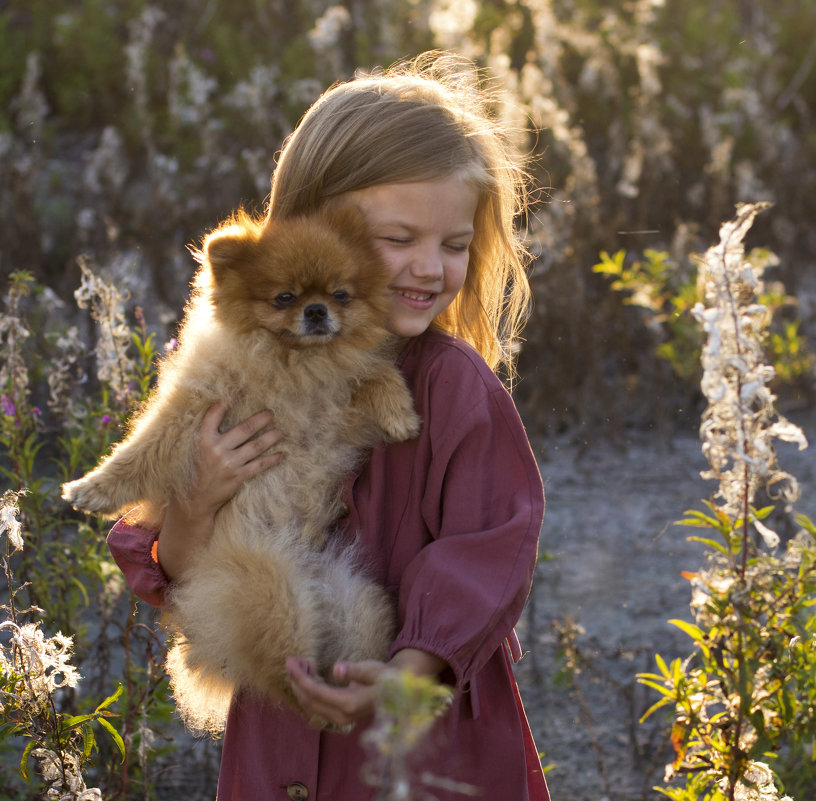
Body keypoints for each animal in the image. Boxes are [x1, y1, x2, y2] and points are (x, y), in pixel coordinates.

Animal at [62, 205, 420, 732]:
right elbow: (145, 446)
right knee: (282, 672)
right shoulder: (196, 409)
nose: (317, 311)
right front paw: (93, 488)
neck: (293, 363)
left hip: (362, 608)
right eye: (284, 297)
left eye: (340, 294)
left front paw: (401, 413)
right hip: (267, 591)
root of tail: (304, 572)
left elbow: (377, 373)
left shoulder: (342, 418)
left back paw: (344, 696)